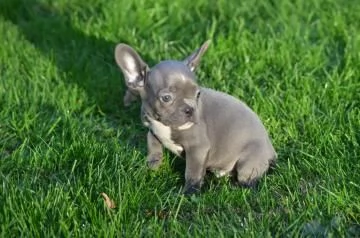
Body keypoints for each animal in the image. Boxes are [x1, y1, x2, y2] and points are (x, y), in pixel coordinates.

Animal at [114, 40, 278, 194]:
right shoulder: (152, 132)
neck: (164, 125)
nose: (190, 109)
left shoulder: (198, 148)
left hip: (248, 162)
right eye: (166, 98)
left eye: (198, 94)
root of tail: (271, 150)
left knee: (248, 182)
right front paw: (150, 169)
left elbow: (192, 172)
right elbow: (154, 150)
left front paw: (188, 193)